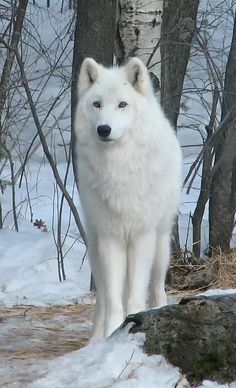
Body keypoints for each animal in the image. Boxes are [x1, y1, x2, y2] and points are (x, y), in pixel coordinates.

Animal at [74, 56, 182, 340]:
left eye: (122, 104)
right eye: (97, 104)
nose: (104, 129)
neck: (118, 170)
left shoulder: (142, 236)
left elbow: (134, 296)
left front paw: (134, 324)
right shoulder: (110, 238)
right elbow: (113, 301)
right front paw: (111, 334)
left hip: (160, 246)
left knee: (156, 289)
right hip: (95, 248)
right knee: (102, 298)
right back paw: (95, 338)